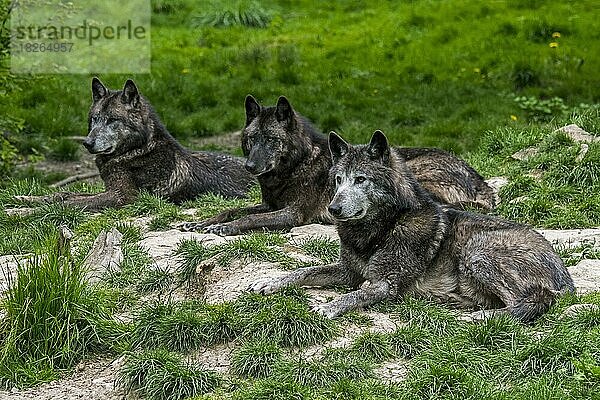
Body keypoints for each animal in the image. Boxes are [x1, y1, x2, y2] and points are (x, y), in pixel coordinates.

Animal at [16, 76, 255, 211]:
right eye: (95, 119)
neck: (136, 151)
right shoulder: (108, 190)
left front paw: (22, 213)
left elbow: (69, 203)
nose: (87, 143)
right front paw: (25, 199)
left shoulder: (122, 197)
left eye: (112, 120)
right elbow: (62, 195)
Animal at [180, 95, 494, 236]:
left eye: (271, 140)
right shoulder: (270, 205)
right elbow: (231, 210)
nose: (250, 166)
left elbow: (248, 219)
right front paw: (201, 222)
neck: (294, 167)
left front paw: (224, 229)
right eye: (251, 139)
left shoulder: (292, 214)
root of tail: (480, 180)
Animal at [250, 131, 576, 322]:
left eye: (361, 180)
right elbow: (304, 271)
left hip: (477, 252)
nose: (333, 209)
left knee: (532, 301)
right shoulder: (348, 271)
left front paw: (328, 307)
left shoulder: (385, 284)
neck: (382, 229)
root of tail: (566, 279)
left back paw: (479, 317)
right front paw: (270, 281)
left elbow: (355, 295)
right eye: (338, 180)